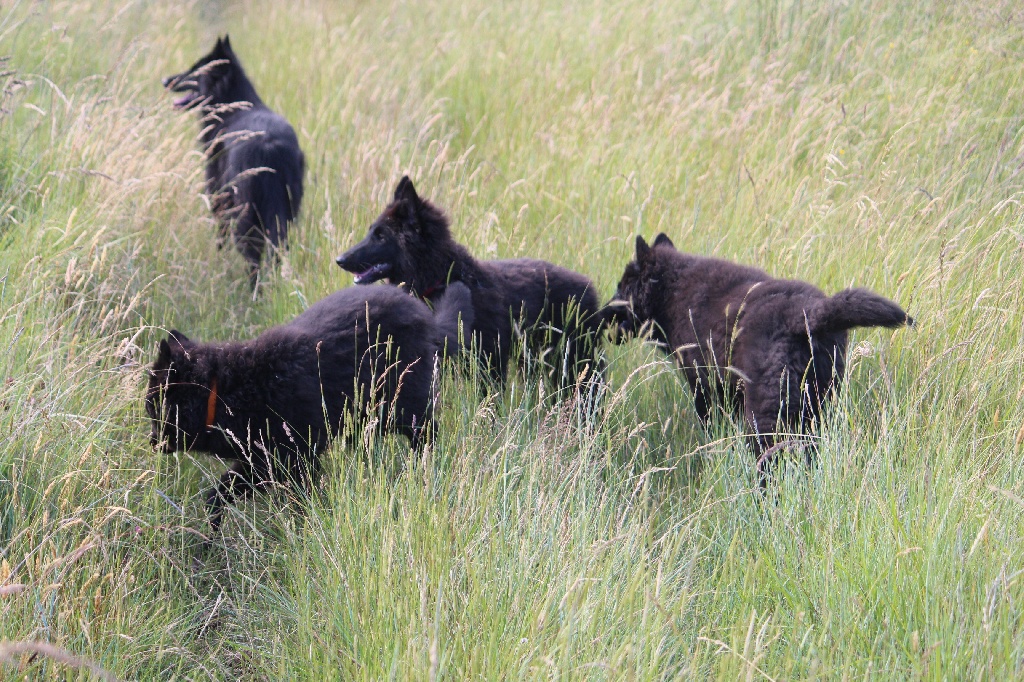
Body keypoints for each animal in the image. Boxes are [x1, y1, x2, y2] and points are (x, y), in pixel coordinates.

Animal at [146, 280, 473, 524]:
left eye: (152, 407)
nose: (152, 442)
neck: (232, 391)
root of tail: (425, 318)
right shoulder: (262, 461)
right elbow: (219, 493)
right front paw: (212, 530)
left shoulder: (296, 459)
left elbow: (302, 501)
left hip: (404, 410)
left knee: (428, 437)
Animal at [162, 35, 303, 288]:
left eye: (195, 69)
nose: (165, 80)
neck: (233, 104)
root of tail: (269, 147)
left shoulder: (217, 195)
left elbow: (221, 238)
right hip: (286, 214)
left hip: (244, 215)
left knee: (253, 260)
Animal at [335, 175, 606, 393]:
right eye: (372, 232)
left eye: (381, 236)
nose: (340, 260)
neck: (442, 278)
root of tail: (588, 287)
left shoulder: (489, 363)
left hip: (578, 363)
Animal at [598, 233, 913, 477]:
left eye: (622, 286)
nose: (599, 313)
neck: (672, 290)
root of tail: (807, 314)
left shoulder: (704, 387)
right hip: (819, 404)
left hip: (767, 413)